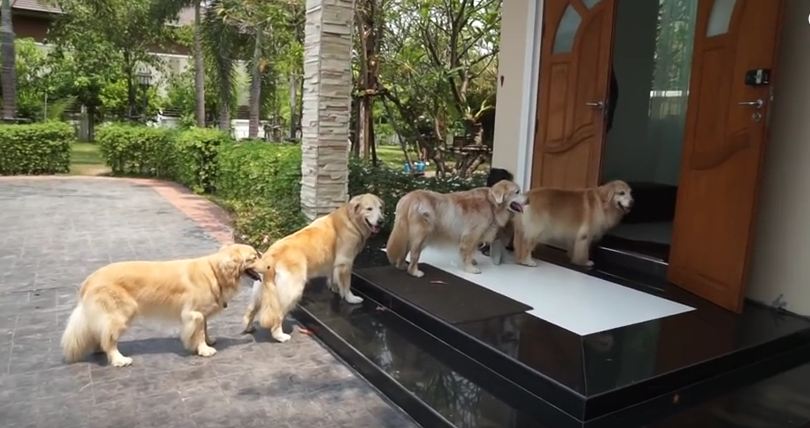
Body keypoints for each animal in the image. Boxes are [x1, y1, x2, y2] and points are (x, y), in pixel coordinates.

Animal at [384, 180, 524, 278]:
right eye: (517, 192)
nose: (527, 199)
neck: (491, 203)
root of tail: (409, 198)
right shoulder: (471, 234)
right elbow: (467, 252)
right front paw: (470, 268)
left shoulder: (476, 236)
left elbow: (471, 252)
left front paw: (472, 262)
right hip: (421, 236)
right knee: (414, 254)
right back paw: (414, 272)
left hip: (407, 234)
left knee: (404, 251)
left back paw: (402, 265)